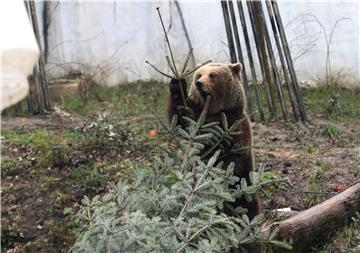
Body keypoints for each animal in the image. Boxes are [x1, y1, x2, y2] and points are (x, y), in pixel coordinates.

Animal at [167, 61, 260, 223]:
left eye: (212, 75)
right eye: (199, 74)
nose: (199, 83)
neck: (213, 110)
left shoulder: (234, 125)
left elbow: (228, 155)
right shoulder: (195, 118)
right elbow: (179, 118)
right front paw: (177, 84)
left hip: (244, 185)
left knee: (247, 205)